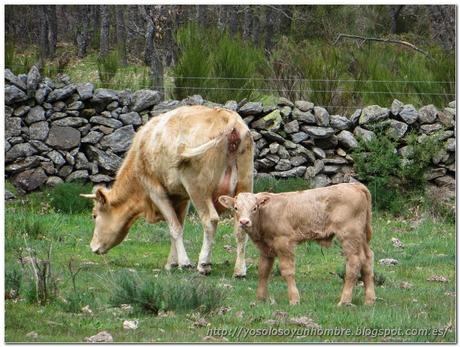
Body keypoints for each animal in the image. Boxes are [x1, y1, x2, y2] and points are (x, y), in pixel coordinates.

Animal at [82, 104, 255, 278]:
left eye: (94, 215)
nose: (92, 246)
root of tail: (227, 115)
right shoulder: (181, 196)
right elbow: (179, 225)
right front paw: (172, 262)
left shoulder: (156, 191)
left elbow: (174, 227)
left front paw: (184, 263)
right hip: (244, 187)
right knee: (240, 227)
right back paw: (240, 270)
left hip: (198, 189)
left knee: (210, 221)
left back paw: (203, 264)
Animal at [217, 184, 376, 306]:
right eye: (236, 208)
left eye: (254, 208)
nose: (244, 222)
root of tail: (354, 185)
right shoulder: (266, 248)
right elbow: (263, 270)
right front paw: (261, 298)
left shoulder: (284, 243)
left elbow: (287, 271)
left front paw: (294, 299)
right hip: (360, 238)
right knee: (367, 260)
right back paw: (369, 300)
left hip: (349, 236)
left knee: (354, 264)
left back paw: (344, 301)